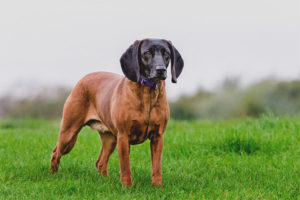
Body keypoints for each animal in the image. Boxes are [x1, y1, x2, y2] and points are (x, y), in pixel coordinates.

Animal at [49, 38, 183, 186]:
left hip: (110, 139)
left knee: (100, 162)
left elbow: (156, 167)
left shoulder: (157, 137)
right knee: (55, 153)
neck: (147, 95)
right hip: (69, 132)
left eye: (166, 54)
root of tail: (82, 79)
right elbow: (125, 167)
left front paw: (157, 187)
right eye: (147, 53)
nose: (161, 70)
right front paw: (127, 187)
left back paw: (105, 181)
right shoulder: (123, 136)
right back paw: (53, 176)